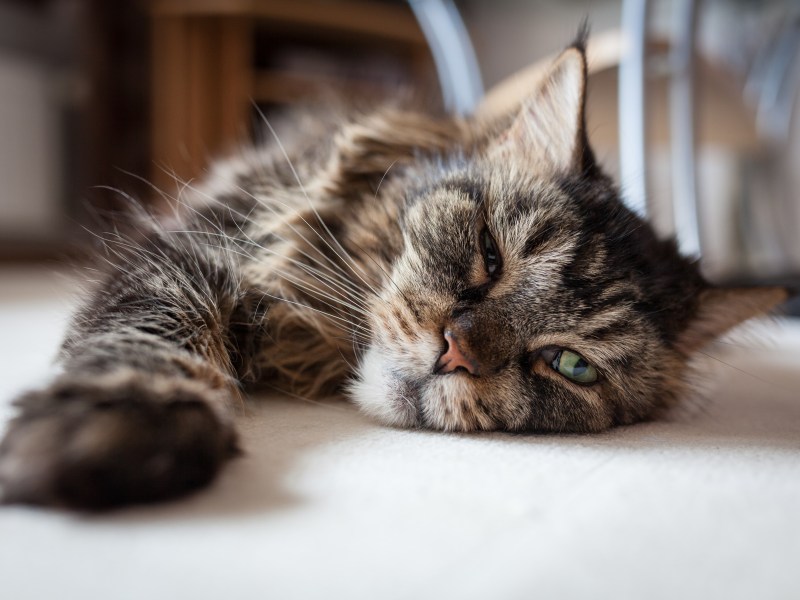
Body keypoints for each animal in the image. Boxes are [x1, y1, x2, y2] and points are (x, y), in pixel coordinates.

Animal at [0, 36, 788, 506]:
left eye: (571, 365)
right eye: (489, 252)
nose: (456, 351)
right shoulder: (193, 251)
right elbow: (155, 332)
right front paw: (121, 424)